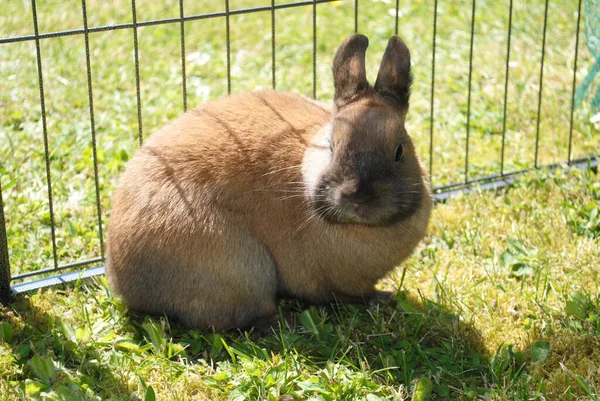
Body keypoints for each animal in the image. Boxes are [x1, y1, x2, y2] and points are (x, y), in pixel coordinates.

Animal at [104, 33, 432, 328]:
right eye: (331, 145)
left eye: (399, 151)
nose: (357, 199)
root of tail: (123, 281)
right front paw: (382, 297)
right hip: (241, 268)